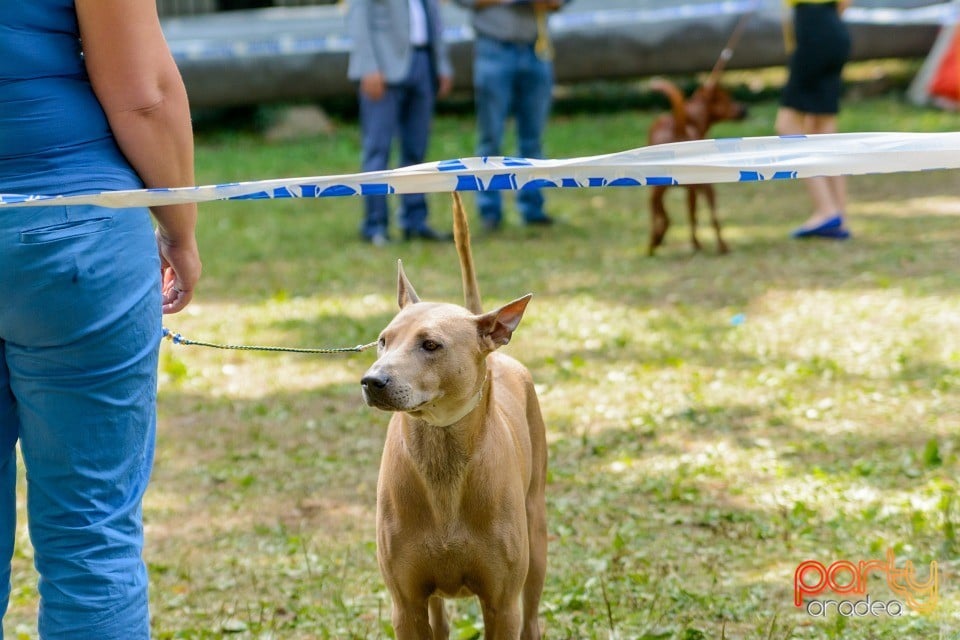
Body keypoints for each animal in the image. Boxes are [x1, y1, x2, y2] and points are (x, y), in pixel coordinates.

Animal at [362, 194, 548, 640]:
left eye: (431, 345)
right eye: (382, 341)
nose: (372, 381)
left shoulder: (502, 605)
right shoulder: (406, 604)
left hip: (536, 537)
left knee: (533, 615)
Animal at [644, 76, 752, 254]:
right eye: (727, 99)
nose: (745, 109)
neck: (691, 118)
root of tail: (678, 126)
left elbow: (665, 214)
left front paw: (660, 236)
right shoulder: (698, 187)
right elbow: (689, 216)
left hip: (663, 188)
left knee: (661, 210)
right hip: (699, 188)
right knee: (705, 216)